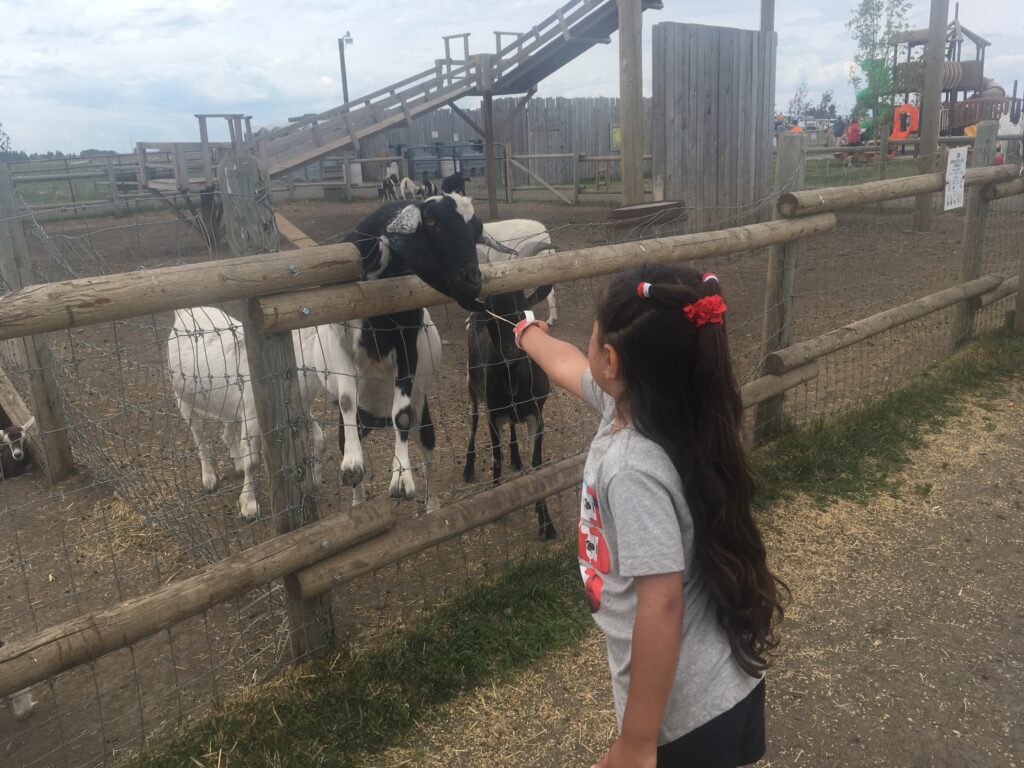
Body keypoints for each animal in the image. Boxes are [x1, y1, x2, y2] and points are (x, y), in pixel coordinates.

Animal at [466, 284, 561, 540]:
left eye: (521, 312)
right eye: (492, 318)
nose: (509, 350)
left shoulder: (536, 412)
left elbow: (537, 464)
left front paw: (546, 523)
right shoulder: (493, 413)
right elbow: (496, 457)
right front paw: (496, 503)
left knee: (511, 424)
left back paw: (516, 458)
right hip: (472, 386)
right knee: (474, 418)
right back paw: (468, 467)